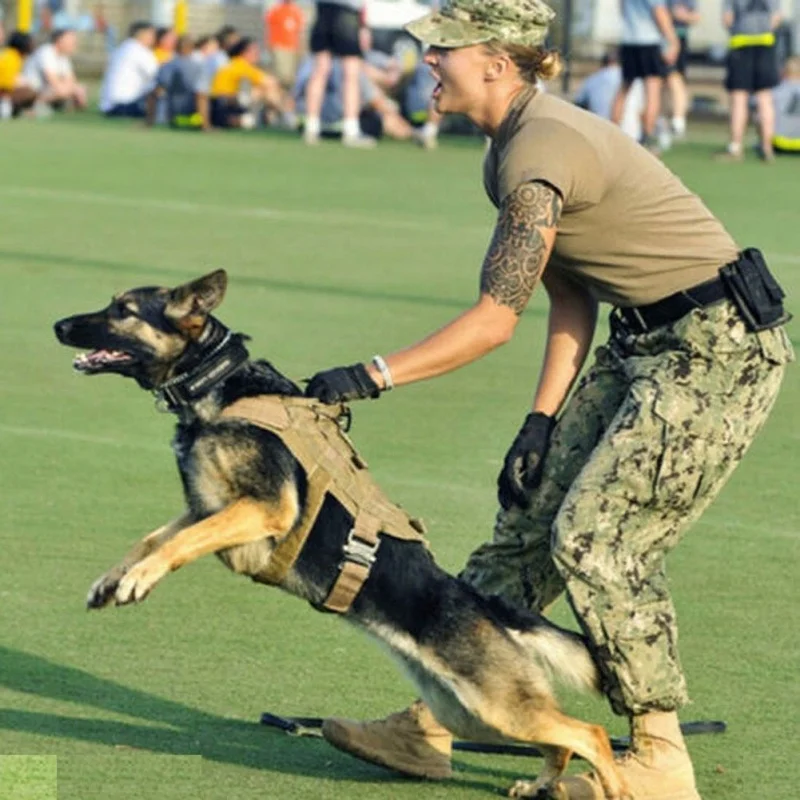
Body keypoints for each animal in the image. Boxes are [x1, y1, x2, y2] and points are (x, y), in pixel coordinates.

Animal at [54, 272, 632, 796]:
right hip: (472, 712)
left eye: (123, 310)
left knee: (593, 734)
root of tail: (484, 605)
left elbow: (174, 544)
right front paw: (112, 580)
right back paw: (541, 783)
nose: (58, 325)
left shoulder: (263, 509)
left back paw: (615, 787)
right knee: (562, 739)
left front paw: (138, 580)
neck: (217, 384)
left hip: (496, 706)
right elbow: (151, 538)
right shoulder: (206, 507)